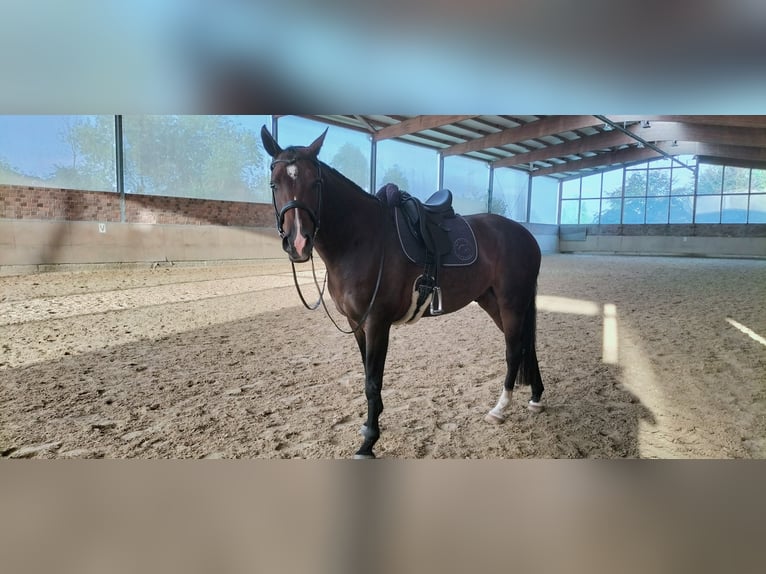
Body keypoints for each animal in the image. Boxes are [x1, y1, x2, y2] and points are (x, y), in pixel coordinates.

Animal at [264, 126, 544, 460]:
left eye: (315, 183)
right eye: (274, 182)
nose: (298, 243)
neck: (361, 239)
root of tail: (525, 235)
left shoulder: (377, 322)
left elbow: (373, 381)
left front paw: (369, 442)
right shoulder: (356, 324)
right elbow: (367, 374)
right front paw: (369, 426)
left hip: (511, 302)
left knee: (514, 350)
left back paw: (500, 409)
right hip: (493, 302)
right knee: (527, 347)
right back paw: (537, 397)